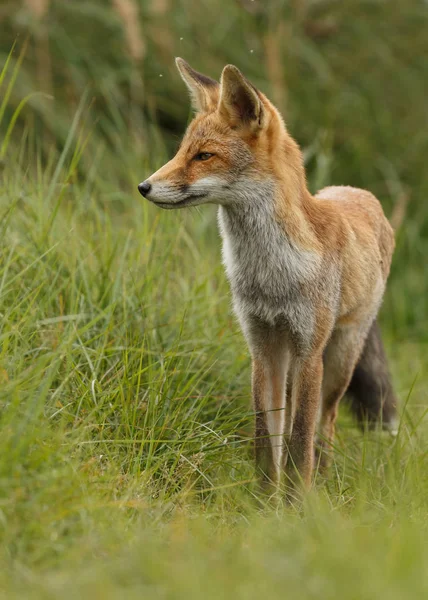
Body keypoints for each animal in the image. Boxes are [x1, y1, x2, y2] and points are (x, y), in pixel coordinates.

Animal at [139, 58, 396, 494]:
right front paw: (264, 501)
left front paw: (297, 501)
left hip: (338, 361)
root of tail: (356, 191)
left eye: (204, 156)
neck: (271, 275)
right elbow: (267, 439)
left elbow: (300, 438)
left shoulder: (309, 352)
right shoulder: (262, 346)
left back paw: (323, 482)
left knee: (325, 425)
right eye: (181, 152)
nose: (144, 186)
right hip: (293, 360)